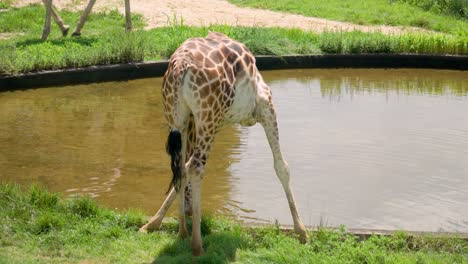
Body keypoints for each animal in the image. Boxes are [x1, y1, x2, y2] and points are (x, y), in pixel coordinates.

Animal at [141, 31, 308, 256]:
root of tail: (181, 66)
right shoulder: (266, 107)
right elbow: (282, 166)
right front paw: (302, 232)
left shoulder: (213, 122)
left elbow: (182, 168)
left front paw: (151, 224)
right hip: (208, 118)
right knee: (196, 168)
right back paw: (197, 245)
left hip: (179, 118)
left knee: (182, 168)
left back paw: (183, 233)